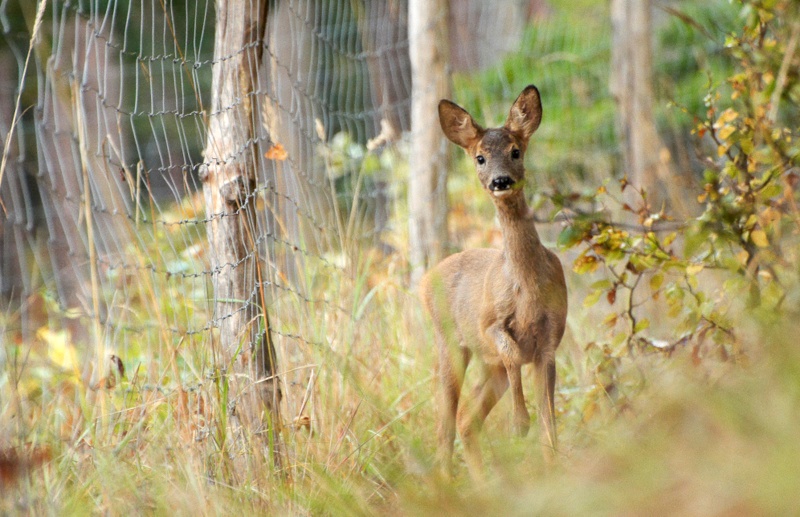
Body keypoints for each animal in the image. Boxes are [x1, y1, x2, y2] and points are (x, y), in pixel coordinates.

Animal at [422, 85, 564, 476]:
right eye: (480, 158)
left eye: (516, 151)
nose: (501, 181)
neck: (527, 291)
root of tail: (425, 279)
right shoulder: (490, 323)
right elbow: (512, 351)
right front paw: (519, 424)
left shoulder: (550, 340)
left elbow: (550, 419)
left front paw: (554, 464)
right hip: (449, 344)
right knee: (444, 425)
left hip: (487, 366)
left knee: (466, 420)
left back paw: (485, 482)